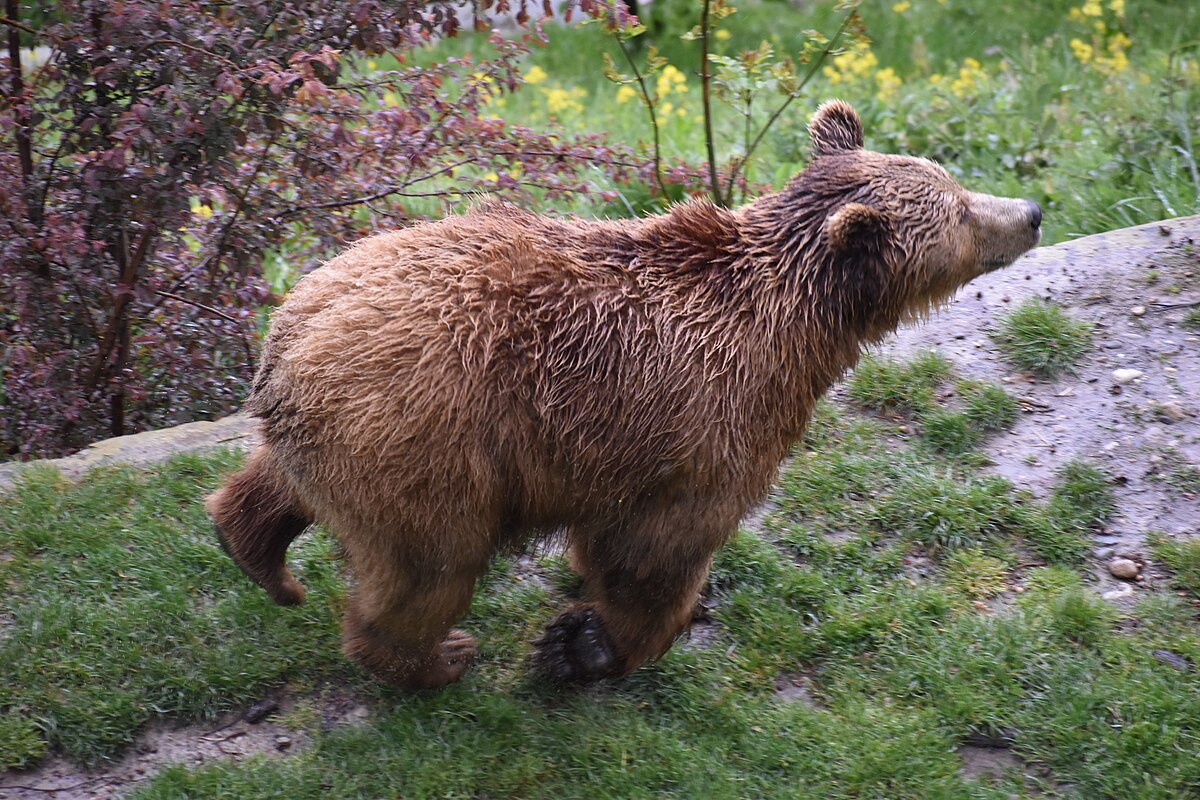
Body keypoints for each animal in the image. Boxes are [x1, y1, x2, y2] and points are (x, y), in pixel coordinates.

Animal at [206, 100, 1041, 690]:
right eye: (961, 210)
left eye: (952, 179)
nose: (1030, 213)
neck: (798, 330)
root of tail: (285, 348)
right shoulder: (706, 420)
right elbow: (655, 550)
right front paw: (588, 644)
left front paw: (582, 637)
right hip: (428, 439)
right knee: (428, 568)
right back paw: (438, 656)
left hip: (344, 428)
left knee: (275, 488)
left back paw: (259, 557)